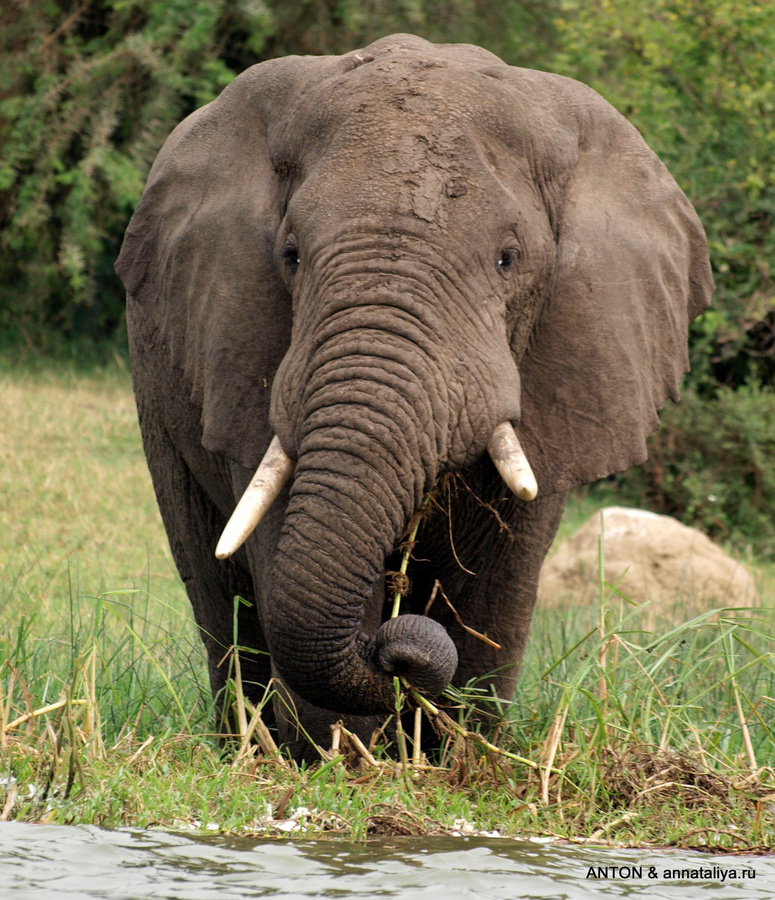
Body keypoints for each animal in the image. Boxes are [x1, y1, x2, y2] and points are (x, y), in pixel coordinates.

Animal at [112, 33, 712, 760]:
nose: (391, 654)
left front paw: (458, 763)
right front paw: (344, 764)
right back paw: (251, 747)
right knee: (211, 576)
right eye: (290, 254)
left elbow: (497, 582)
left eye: (509, 259)